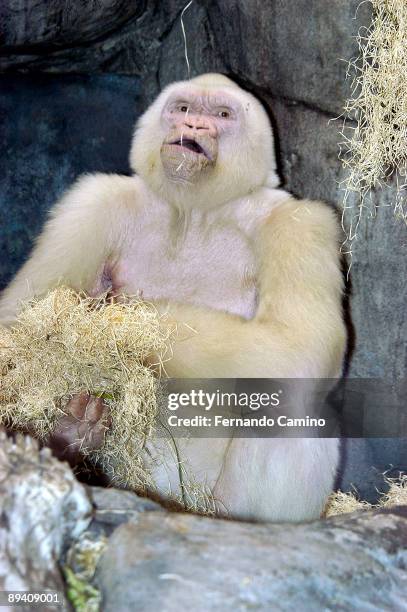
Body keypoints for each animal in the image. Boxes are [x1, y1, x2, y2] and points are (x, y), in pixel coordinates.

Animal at [0, 73, 348, 520]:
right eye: (183, 108)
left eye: (222, 114)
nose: (193, 126)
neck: (195, 212)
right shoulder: (92, 203)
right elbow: (18, 320)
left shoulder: (299, 224)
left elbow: (298, 341)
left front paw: (114, 324)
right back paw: (72, 433)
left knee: (293, 393)